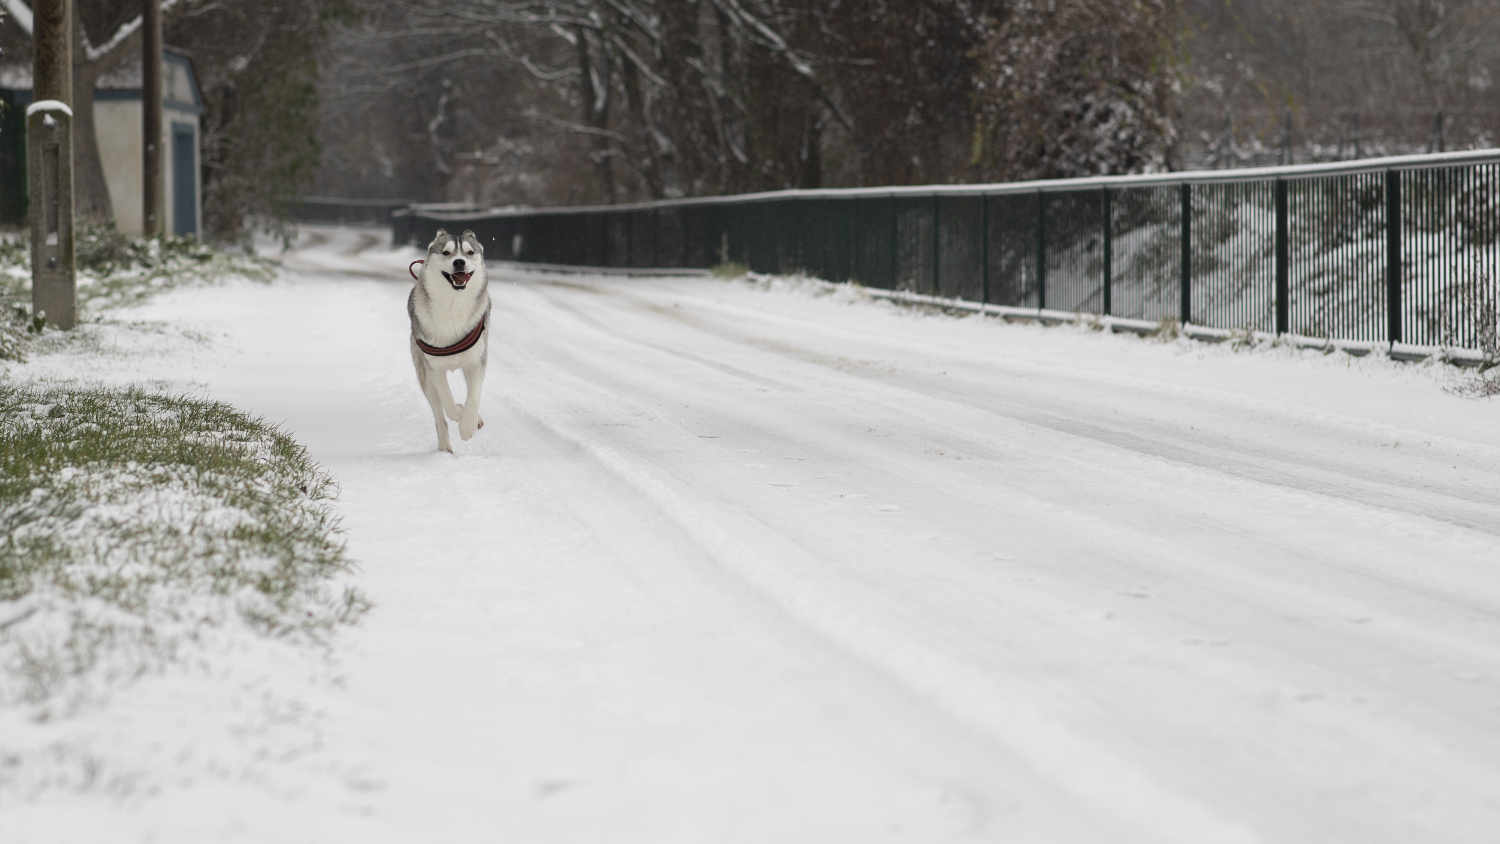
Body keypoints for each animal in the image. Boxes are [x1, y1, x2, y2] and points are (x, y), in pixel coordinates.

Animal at [408, 227, 489, 452]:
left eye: (470, 253)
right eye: (446, 252)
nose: (459, 262)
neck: (453, 305)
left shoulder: (477, 361)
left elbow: (474, 397)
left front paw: (468, 425)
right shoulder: (433, 367)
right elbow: (449, 404)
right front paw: (460, 414)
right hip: (424, 377)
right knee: (439, 416)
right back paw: (445, 449)